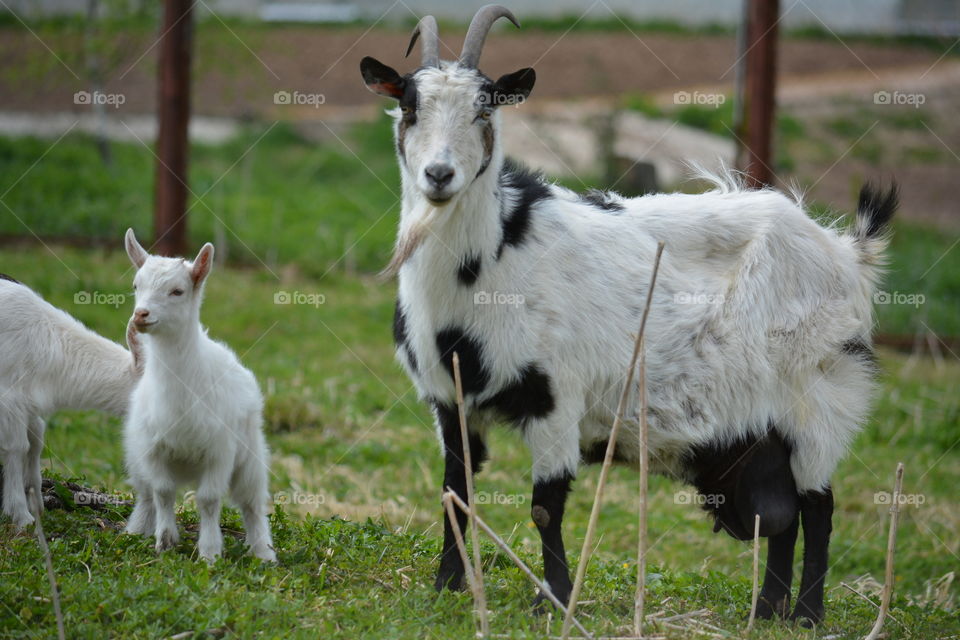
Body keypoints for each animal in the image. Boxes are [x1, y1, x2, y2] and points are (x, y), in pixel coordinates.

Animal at [0, 274, 142, 528]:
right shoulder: (8, 396)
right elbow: (16, 446)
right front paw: (21, 516)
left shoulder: (28, 402)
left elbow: (36, 439)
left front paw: (36, 503)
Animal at [122, 230, 275, 562]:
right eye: (136, 285)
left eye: (177, 291)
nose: (141, 315)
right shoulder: (152, 449)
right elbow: (162, 492)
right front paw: (165, 540)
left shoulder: (220, 450)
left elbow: (208, 500)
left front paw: (209, 552)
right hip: (135, 455)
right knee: (145, 494)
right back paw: (135, 531)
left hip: (250, 453)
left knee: (252, 502)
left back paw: (264, 552)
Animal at [360, 5, 895, 625]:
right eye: (410, 106)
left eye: (484, 107)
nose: (439, 175)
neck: (490, 265)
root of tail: (848, 251)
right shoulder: (451, 401)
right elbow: (456, 493)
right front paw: (447, 586)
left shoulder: (555, 398)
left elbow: (545, 507)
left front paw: (556, 599)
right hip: (766, 431)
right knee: (779, 515)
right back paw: (768, 611)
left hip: (821, 400)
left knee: (818, 505)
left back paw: (807, 613)